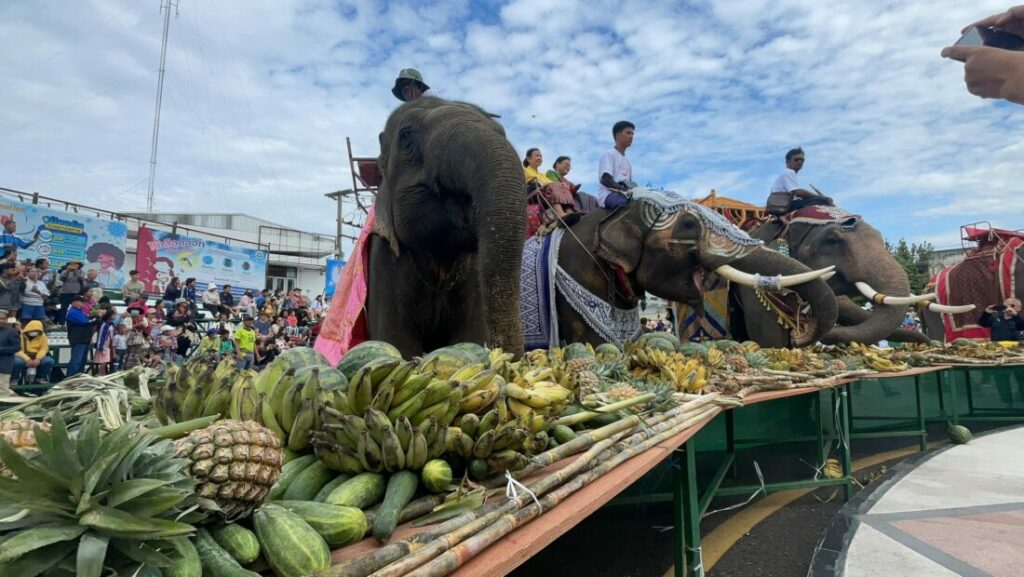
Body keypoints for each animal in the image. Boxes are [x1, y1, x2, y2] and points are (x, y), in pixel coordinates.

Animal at [366, 99, 524, 356]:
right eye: (405, 135)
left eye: (501, 132)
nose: (509, 357)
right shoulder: (384, 261)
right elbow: (395, 342)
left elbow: (470, 337)